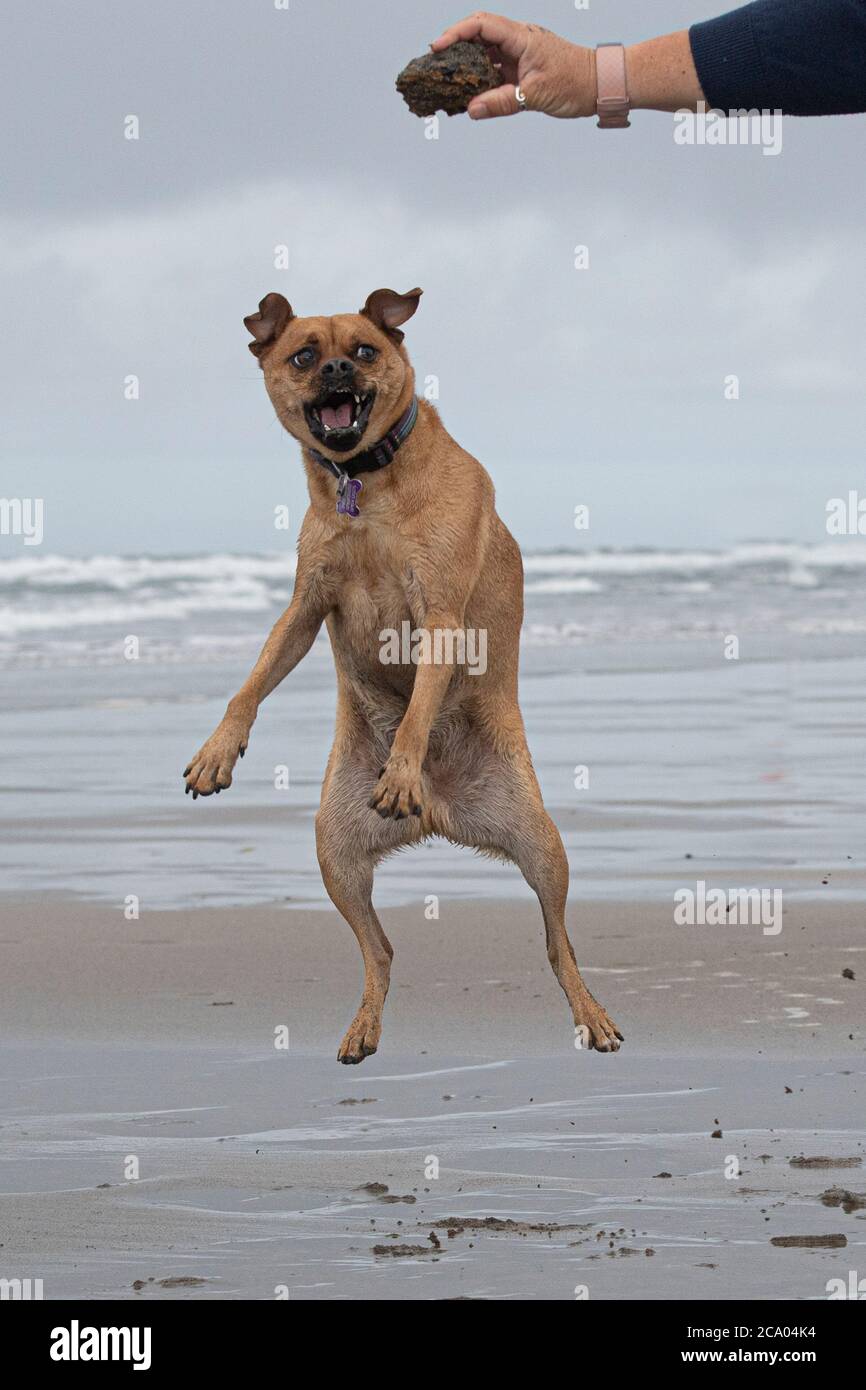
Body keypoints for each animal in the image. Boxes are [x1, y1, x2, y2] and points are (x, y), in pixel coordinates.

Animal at [186, 284, 622, 1061]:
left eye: (363, 350)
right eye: (303, 356)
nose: (335, 370)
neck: (366, 483)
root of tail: (442, 812)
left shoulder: (439, 614)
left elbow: (419, 704)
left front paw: (403, 766)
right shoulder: (305, 606)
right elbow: (251, 681)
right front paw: (218, 750)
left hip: (541, 842)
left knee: (557, 944)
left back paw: (590, 1013)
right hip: (333, 847)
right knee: (381, 949)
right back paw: (364, 1024)